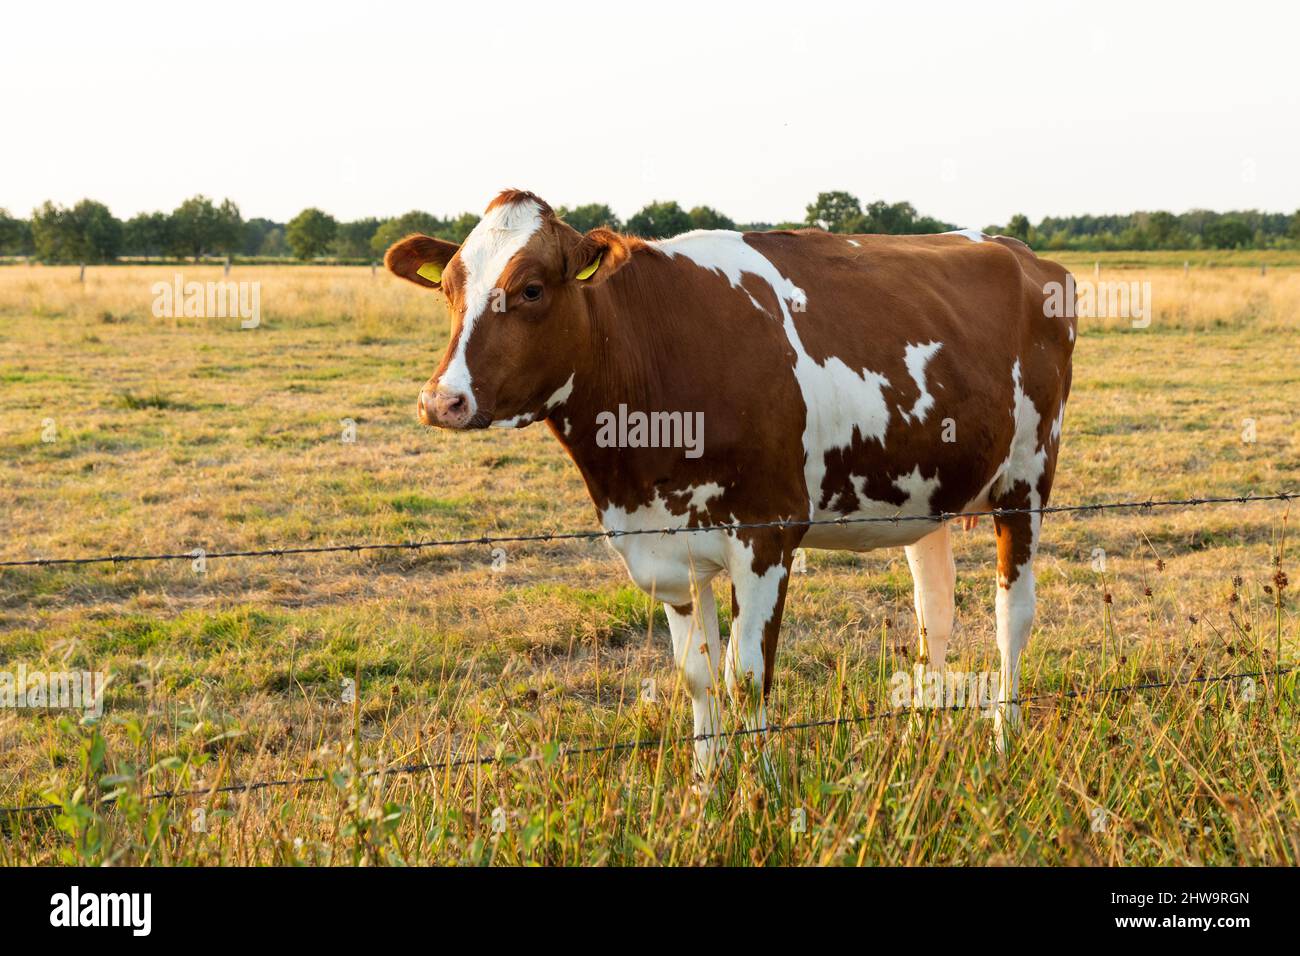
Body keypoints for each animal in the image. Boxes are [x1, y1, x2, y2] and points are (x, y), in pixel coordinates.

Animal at [386, 189, 1075, 774]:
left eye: (530, 289)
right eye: (448, 288)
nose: (441, 400)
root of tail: (1017, 250)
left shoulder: (767, 533)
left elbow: (748, 678)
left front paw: (761, 790)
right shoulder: (667, 545)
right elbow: (697, 677)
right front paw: (706, 788)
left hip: (1026, 479)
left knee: (1011, 615)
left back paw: (1004, 739)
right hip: (926, 495)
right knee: (935, 613)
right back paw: (917, 741)